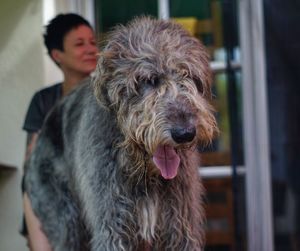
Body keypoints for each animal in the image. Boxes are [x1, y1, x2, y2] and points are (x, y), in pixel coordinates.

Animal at [24, 16, 217, 250]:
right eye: (149, 80)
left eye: (189, 76)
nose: (185, 133)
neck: (144, 172)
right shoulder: (112, 227)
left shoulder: (179, 226)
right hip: (64, 219)